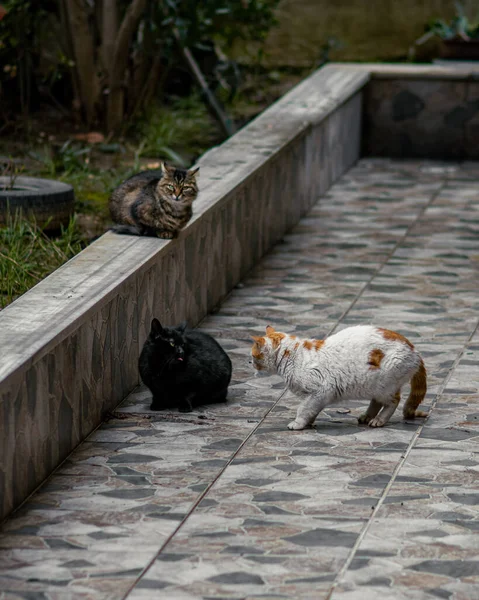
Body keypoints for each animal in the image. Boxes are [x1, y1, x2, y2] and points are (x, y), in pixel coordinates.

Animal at [251, 326, 428, 428]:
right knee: (377, 402)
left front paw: (299, 422)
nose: (248, 361)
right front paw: (309, 421)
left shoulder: (321, 390)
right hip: (374, 386)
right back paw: (367, 417)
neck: (293, 356)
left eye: (253, 355)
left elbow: (304, 408)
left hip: (385, 384)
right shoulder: (319, 396)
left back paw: (379, 420)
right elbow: (311, 409)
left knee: (394, 401)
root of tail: (416, 351)